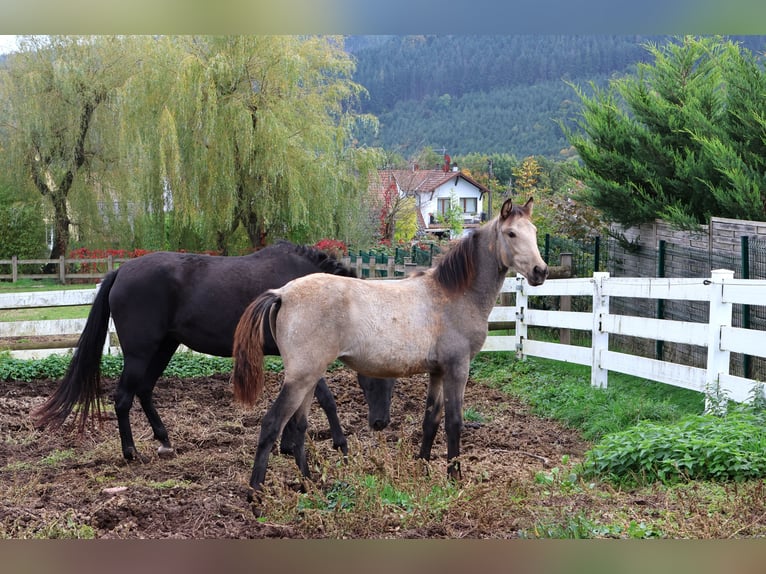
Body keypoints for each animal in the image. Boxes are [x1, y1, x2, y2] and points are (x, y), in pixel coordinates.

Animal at [32, 241, 396, 461]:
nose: (380, 423)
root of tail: (121, 271)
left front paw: (287, 445)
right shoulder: (304, 355)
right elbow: (326, 399)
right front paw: (340, 443)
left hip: (164, 347)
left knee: (144, 391)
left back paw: (165, 441)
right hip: (140, 352)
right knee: (123, 398)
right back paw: (131, 451)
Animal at [231, 197, 547, 497]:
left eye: (533, 232)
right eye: (511, 233)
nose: (540, 271)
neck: (452, 295)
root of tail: (282, 293)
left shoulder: (437, 372)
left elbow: (431, 420)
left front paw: (422, 469)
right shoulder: (457, 368)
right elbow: (454, 423)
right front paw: (454, 478)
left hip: (308, 378)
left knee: (298, 426)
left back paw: (309, 484)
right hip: (300, 377)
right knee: (272, 424)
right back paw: (256, 495)